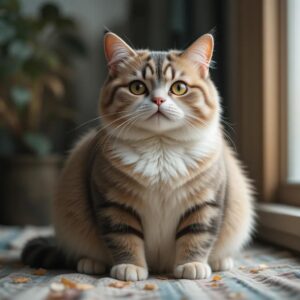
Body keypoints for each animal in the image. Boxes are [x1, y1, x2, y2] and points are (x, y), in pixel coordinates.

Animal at [21, 31, 255, 280]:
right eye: (136, 87)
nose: (159, 100)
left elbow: (197, 235)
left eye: (179, 88)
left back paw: (221, 261)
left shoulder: (206, 201)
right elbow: (124, 238)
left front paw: (192, 265)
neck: (160, 147)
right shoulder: (113, 203)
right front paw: (130, 267)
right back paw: (90, 263)